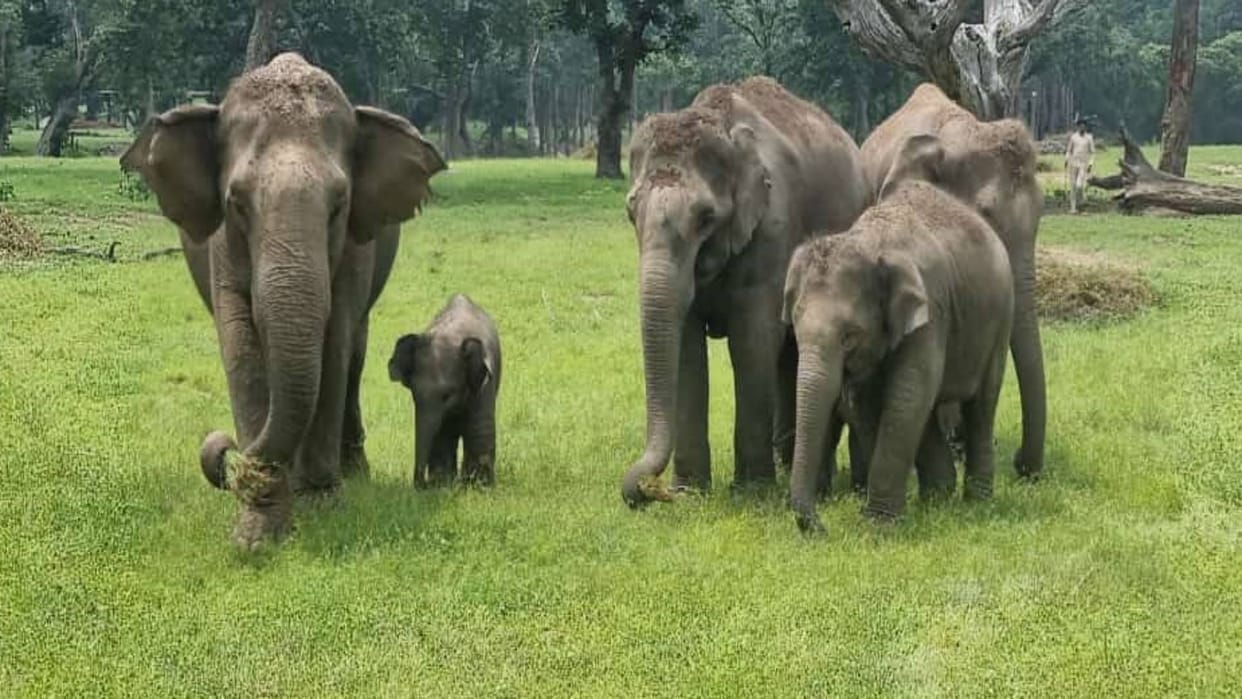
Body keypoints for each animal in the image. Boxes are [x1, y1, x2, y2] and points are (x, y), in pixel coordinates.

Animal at [120, 53, 446, 549]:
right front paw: (258, 531)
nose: (226, 451)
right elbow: (240, 346)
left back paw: (353, 472)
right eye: (236, 203)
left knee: (355, 355)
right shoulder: (221, 249)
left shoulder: (354, 251)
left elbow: (334, 343)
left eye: (339, 204)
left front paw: (319, 505)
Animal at [388, 293, 501, 488]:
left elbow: (478, 429)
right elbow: (441, 434)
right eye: (414, 394)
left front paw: (478, 487)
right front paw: (442, 485)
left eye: (447, 395)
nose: (421, 485)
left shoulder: (484, 384)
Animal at [620, 77, 869, 507]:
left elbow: (751, 341)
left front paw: (752, 492)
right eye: (630, 212)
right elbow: (686, 344)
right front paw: (691, 491)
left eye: (706, 218)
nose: (649, 493)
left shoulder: (772, 229)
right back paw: (787, 465)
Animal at [782, 134, 1015, 534]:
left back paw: (976, 500)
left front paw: (877, 526)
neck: (869, 242)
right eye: (795, 331)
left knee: (981, 404)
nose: (820, 527)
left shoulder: (931, 309)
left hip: (1000, 321)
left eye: (849, 336)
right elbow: (869, 401)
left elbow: (906, 394)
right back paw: (938, 496)